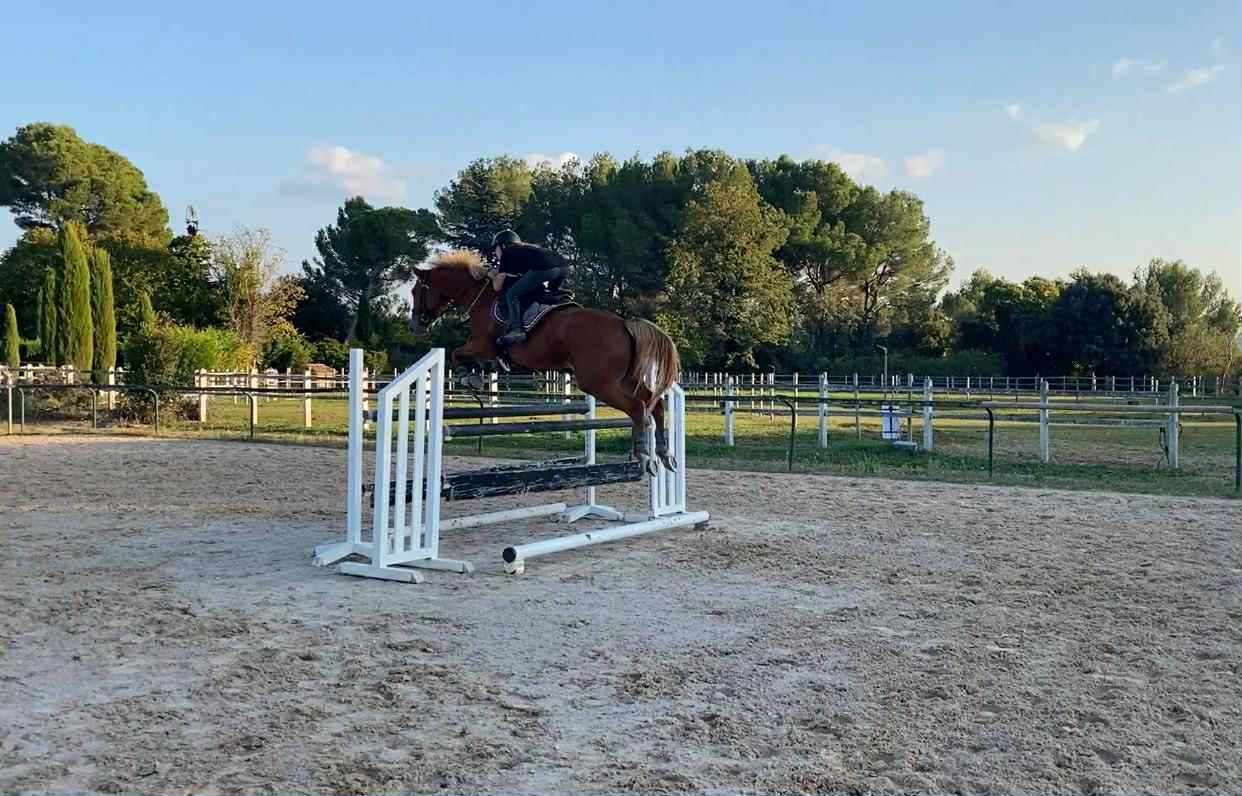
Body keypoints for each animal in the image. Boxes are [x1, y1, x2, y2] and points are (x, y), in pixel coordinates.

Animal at [409, 250, 681, 474]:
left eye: (415, 291)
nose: (415, 326)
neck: (480, 296)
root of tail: (624, 324)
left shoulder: (483, 346)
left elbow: (457, 354)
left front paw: (469, 377)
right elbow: (463, 355)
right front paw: (473, 376)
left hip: (597, 383)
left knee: (638, 408)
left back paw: (644, 455)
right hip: (625, 379)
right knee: (653, 404)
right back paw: (663, 454)